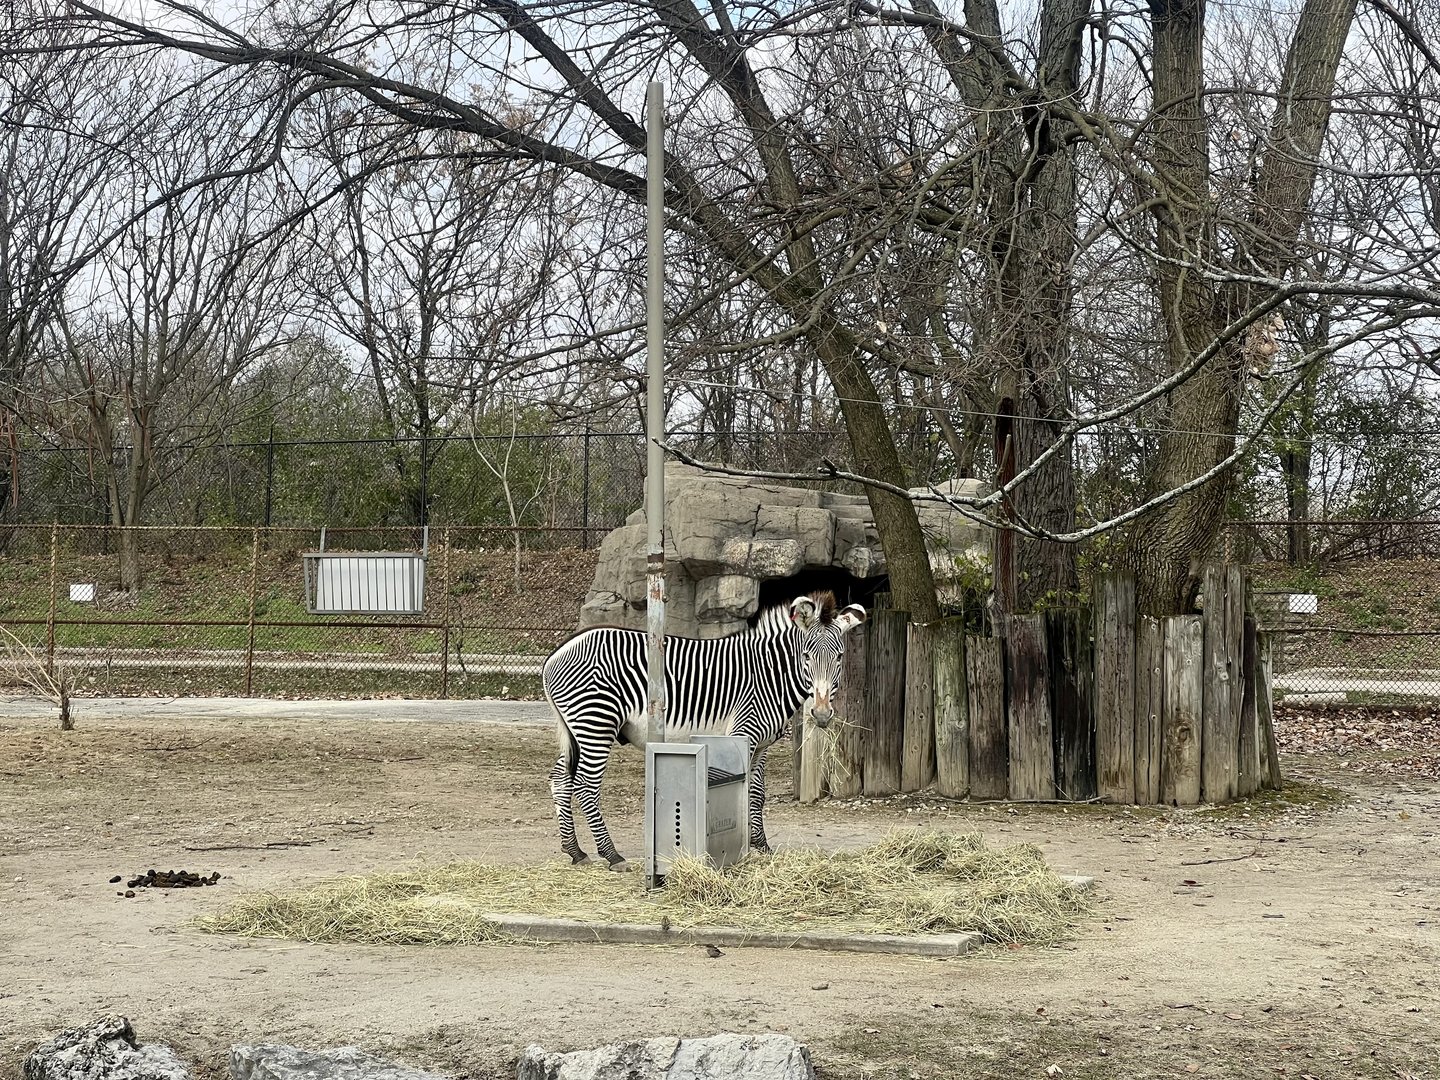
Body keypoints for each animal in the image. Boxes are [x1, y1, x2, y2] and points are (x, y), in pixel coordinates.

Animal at [542, 589, 866, 869]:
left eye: (839, 657)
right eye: (806, 656)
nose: (821, 715)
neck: (770, 675)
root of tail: (556, 654)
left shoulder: (762, 745)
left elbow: (758, 794)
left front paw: (762, 846)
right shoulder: (744, 733)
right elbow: (744, 790)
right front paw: (741, 848)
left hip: (576, 729)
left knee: (560, 779)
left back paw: (575, 851)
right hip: (596, 722)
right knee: (585, 785)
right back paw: (612, 855)